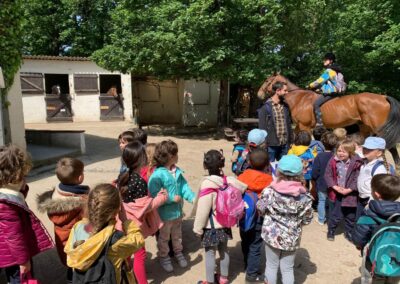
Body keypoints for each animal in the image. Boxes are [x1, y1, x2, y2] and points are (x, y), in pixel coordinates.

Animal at [256, 74, 400, 164]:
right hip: (365, 127)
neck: (299, 98)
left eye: (267, 81)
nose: (259, 94)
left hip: (379, 129)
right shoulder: (298, 127)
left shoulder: (305, 126)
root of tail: (383, 96)